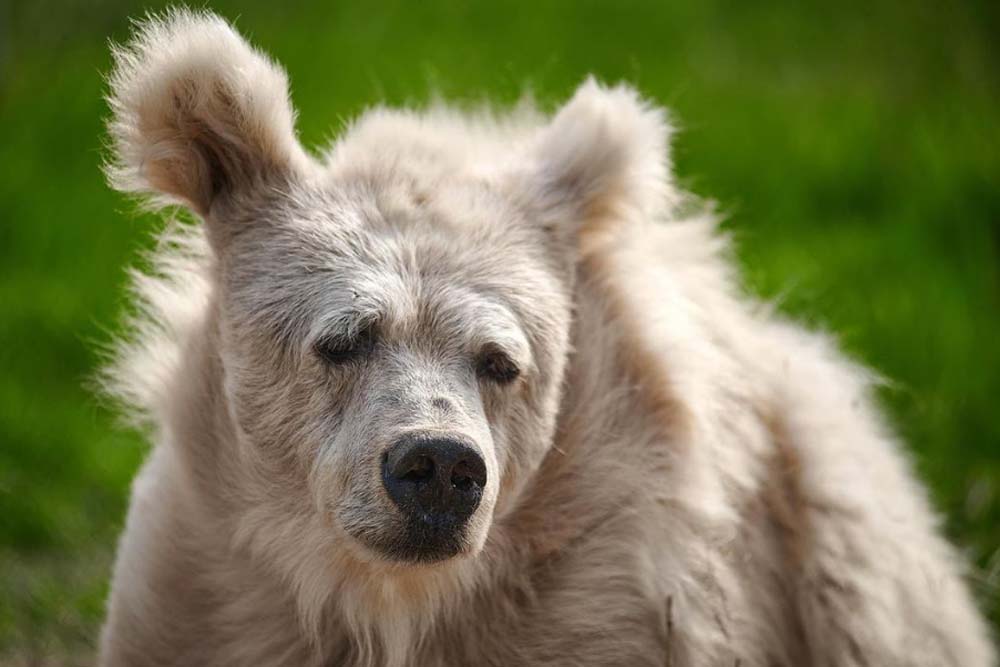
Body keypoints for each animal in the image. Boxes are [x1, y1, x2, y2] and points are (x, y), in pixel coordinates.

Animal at [97, 10, 996, 667]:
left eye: (501, 361)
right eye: (343, 338)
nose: (438, 467)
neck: (388, 599)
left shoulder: (613, 589)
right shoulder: (202, 583)